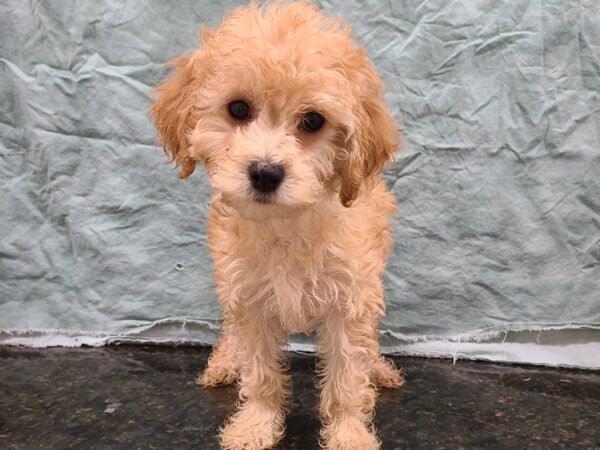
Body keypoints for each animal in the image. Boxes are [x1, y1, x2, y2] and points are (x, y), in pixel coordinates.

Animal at [150, 1, 404, 448]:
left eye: (313, 121)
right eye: (237, 109)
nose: (265, 173)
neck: (284, 224)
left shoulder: (349, 298)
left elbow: (346, 376)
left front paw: (349, 432)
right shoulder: (249, 297)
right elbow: (260, 372)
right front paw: (255, 424)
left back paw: (379, 369)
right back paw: (224, 362)